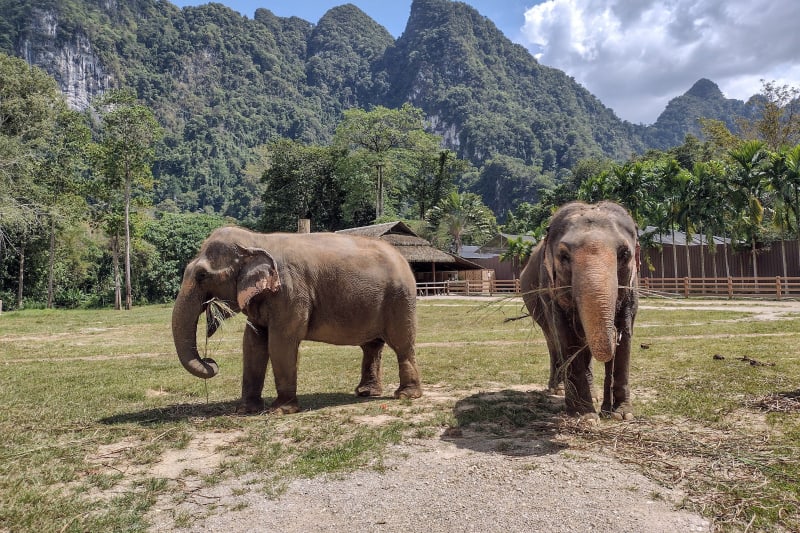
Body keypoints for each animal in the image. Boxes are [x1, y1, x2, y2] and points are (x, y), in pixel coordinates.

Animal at [171, 226, 422, 414]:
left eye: (202, 275)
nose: (211, 361)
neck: (257, 239)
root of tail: (402, 257)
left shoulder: (290, 292)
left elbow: (281, 342)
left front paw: (280, 411)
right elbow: (252, 344)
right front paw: (244, 410)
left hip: (400, 299)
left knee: (402, 344)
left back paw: (405, 396)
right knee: (371, 346)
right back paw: (366, 393)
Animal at [520, 201, 639, 420]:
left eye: (624, 254)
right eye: (564, 256)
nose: (614, 332)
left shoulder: (632, 287)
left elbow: (626, 333)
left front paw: (621, 415)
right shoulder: (550, 290)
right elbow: (565, 337)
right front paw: (584, 415)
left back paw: (594, 397)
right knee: (552, 340)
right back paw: (558, 389)